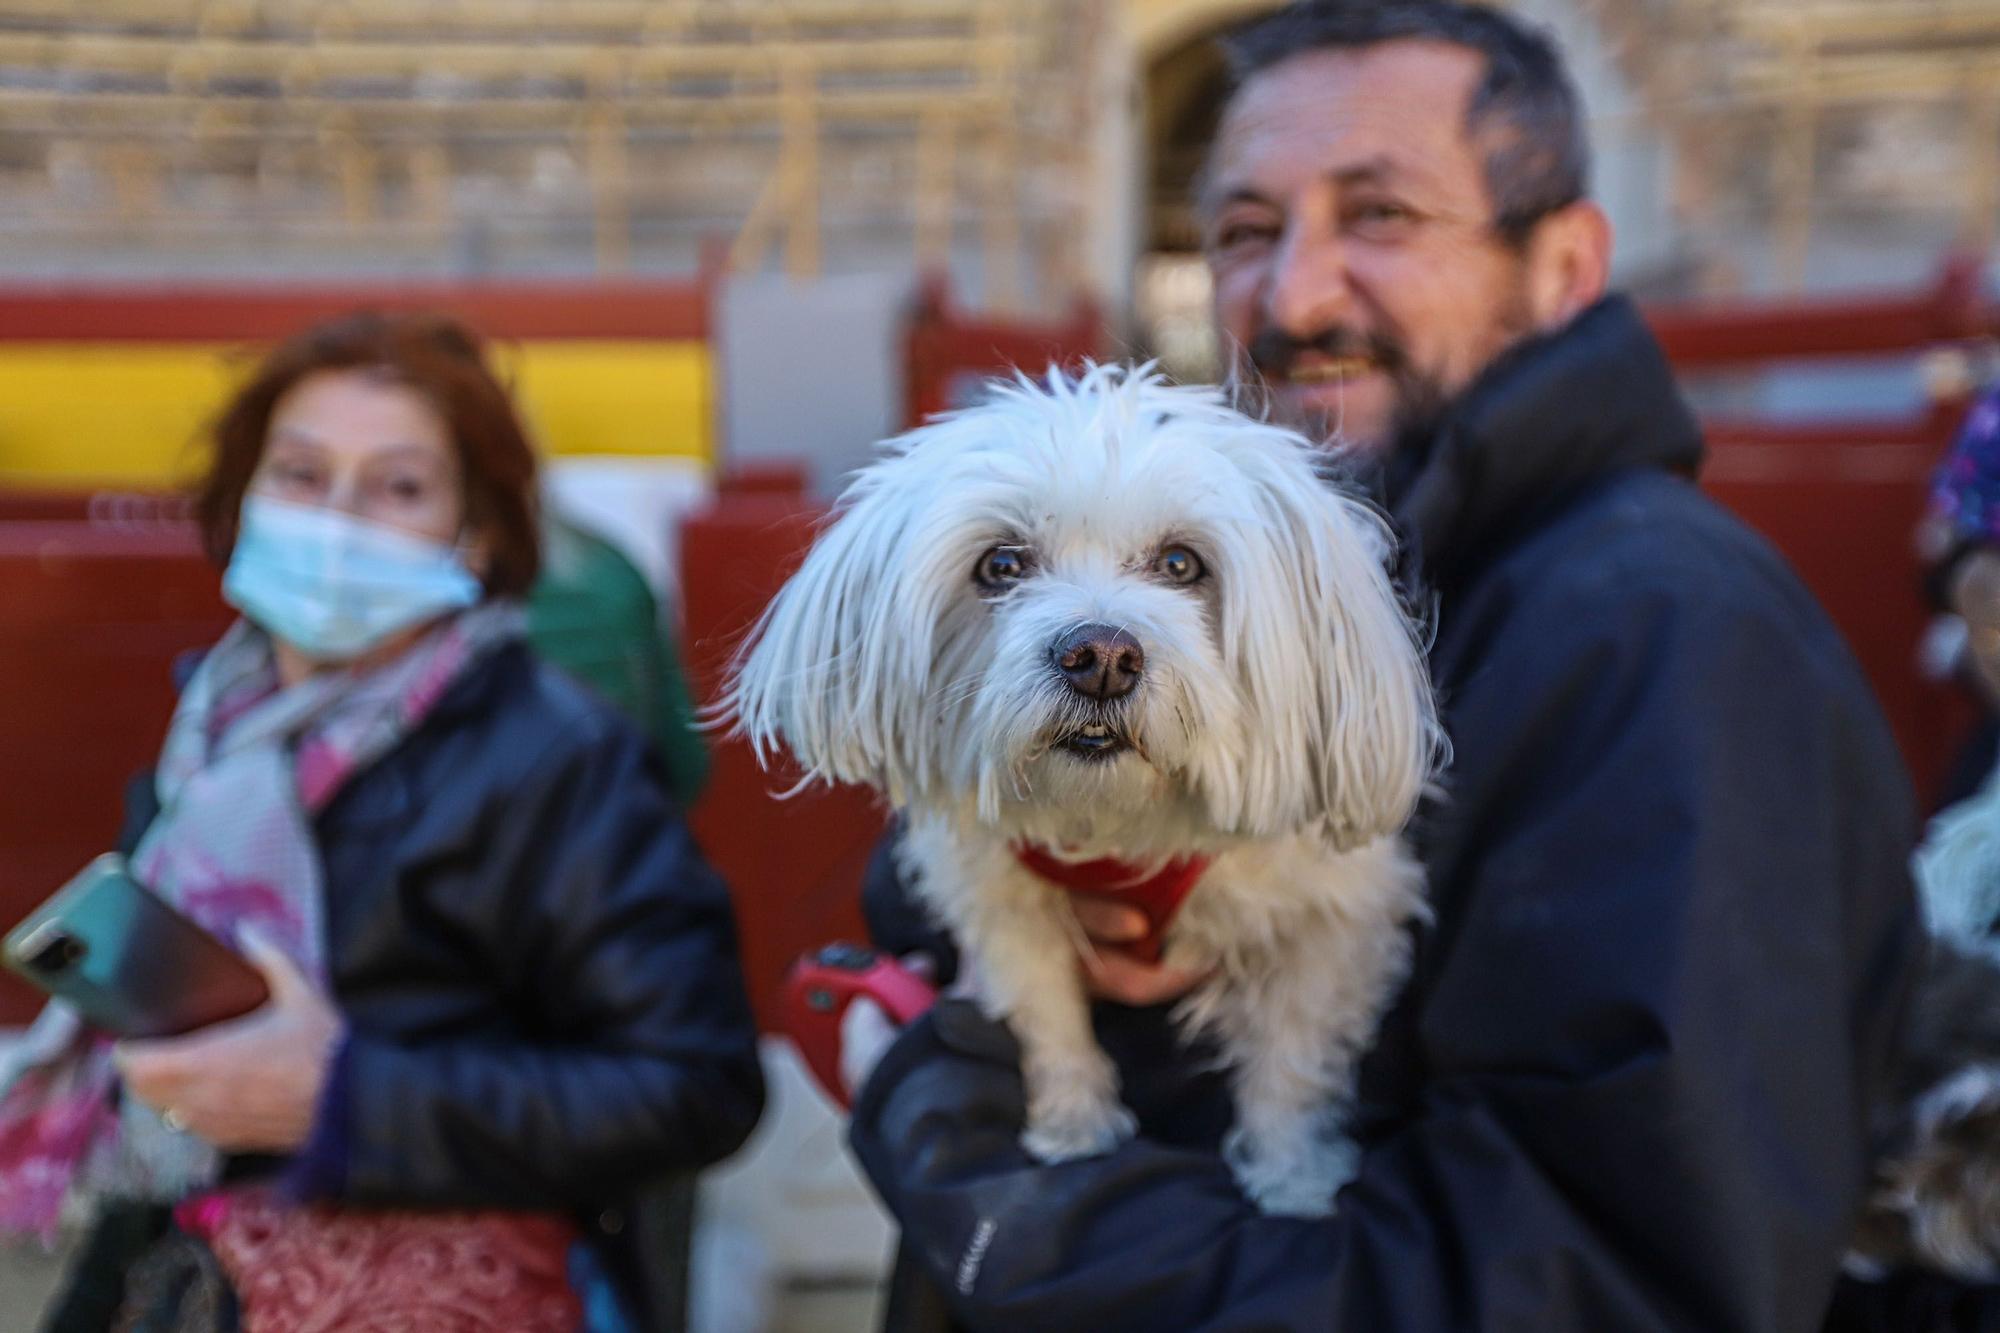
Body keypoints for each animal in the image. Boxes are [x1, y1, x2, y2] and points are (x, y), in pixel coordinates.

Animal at [720, 358, 1440, 1208]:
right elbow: (1045, 1008)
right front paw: (1074, 1125)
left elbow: (1292, 1058)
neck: (1118, 824)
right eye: (1001, 565)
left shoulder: (1330, 917)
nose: (1101, 656)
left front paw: (1294, 1179)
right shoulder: (1004, 896)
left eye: (1180, 564)